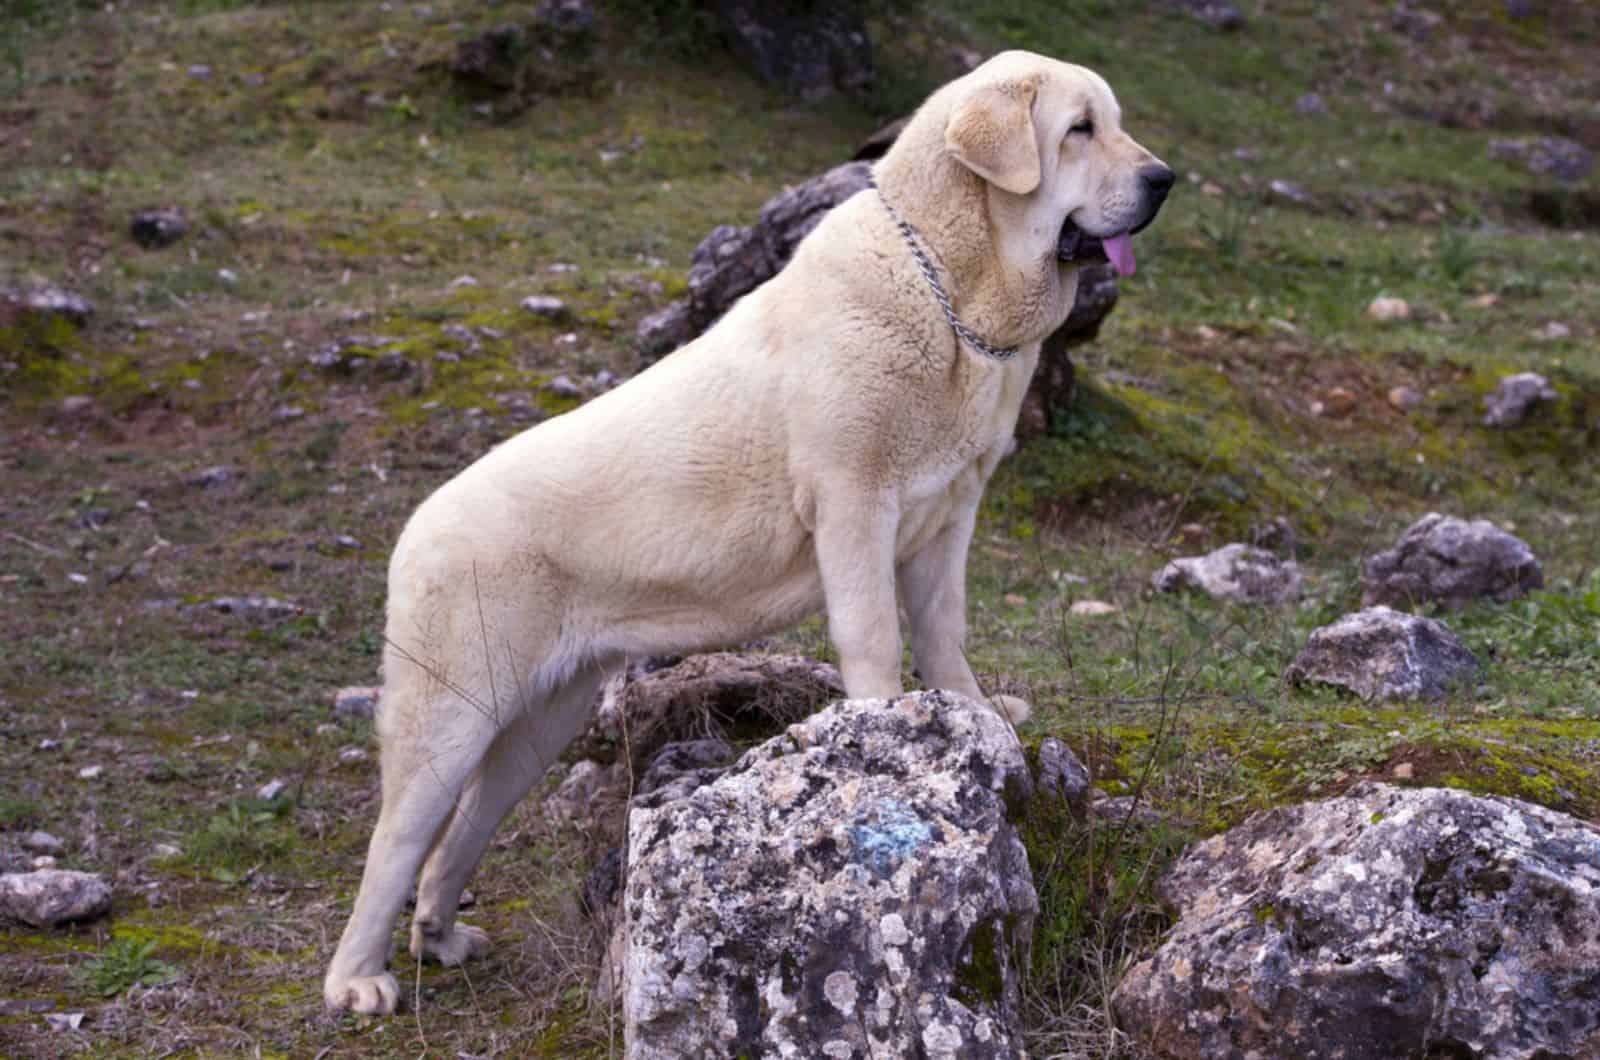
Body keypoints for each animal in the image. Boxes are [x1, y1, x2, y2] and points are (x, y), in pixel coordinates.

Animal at [328, 49, 1177, 1011]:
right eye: (1079, 130)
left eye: (1112, 124)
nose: (1163, 179)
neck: (949, 285)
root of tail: (415, 529)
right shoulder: (853, 501)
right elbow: (876, 635)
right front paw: (886, 735)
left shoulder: (948, 517)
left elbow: (943, 629)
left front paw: (971, 713)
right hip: (451, 709)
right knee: (398, 837)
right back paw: (358, 980)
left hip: (543, 719)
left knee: (462, 828)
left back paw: (437, 934)